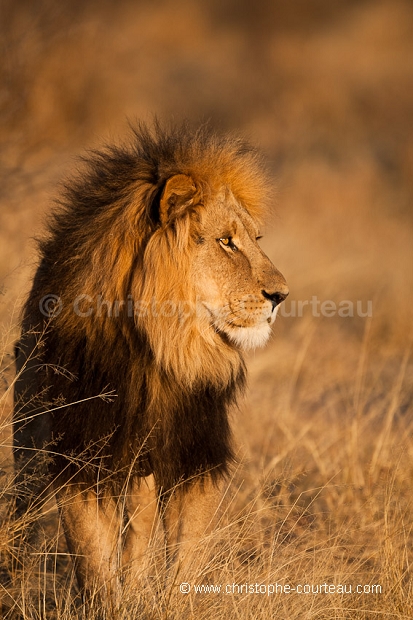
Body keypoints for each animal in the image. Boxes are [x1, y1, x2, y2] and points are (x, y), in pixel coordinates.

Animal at [14, 122, 288, 604]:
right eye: (226, 241)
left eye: (255, 240)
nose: (281, 295)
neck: (157, 350)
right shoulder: (80, 452)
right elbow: (93, 556)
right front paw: (109, 604)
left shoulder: (195, 452)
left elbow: (184, 553)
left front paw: (172, 602)